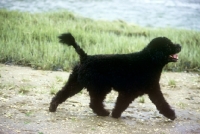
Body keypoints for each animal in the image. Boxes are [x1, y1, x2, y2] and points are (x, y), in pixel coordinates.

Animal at [49, 33, 181, 120]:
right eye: (169, 46)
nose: (179, 45)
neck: (149, 61)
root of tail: (85, 57)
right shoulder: (129, 92)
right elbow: (121, 104)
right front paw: (115, 115)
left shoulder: (153, 89)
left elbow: (161, 103)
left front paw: (171, 115)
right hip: (100, 87)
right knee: (94, 103)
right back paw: (103, 113)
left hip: (76, 83)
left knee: (62, 93)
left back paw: (52, 107)